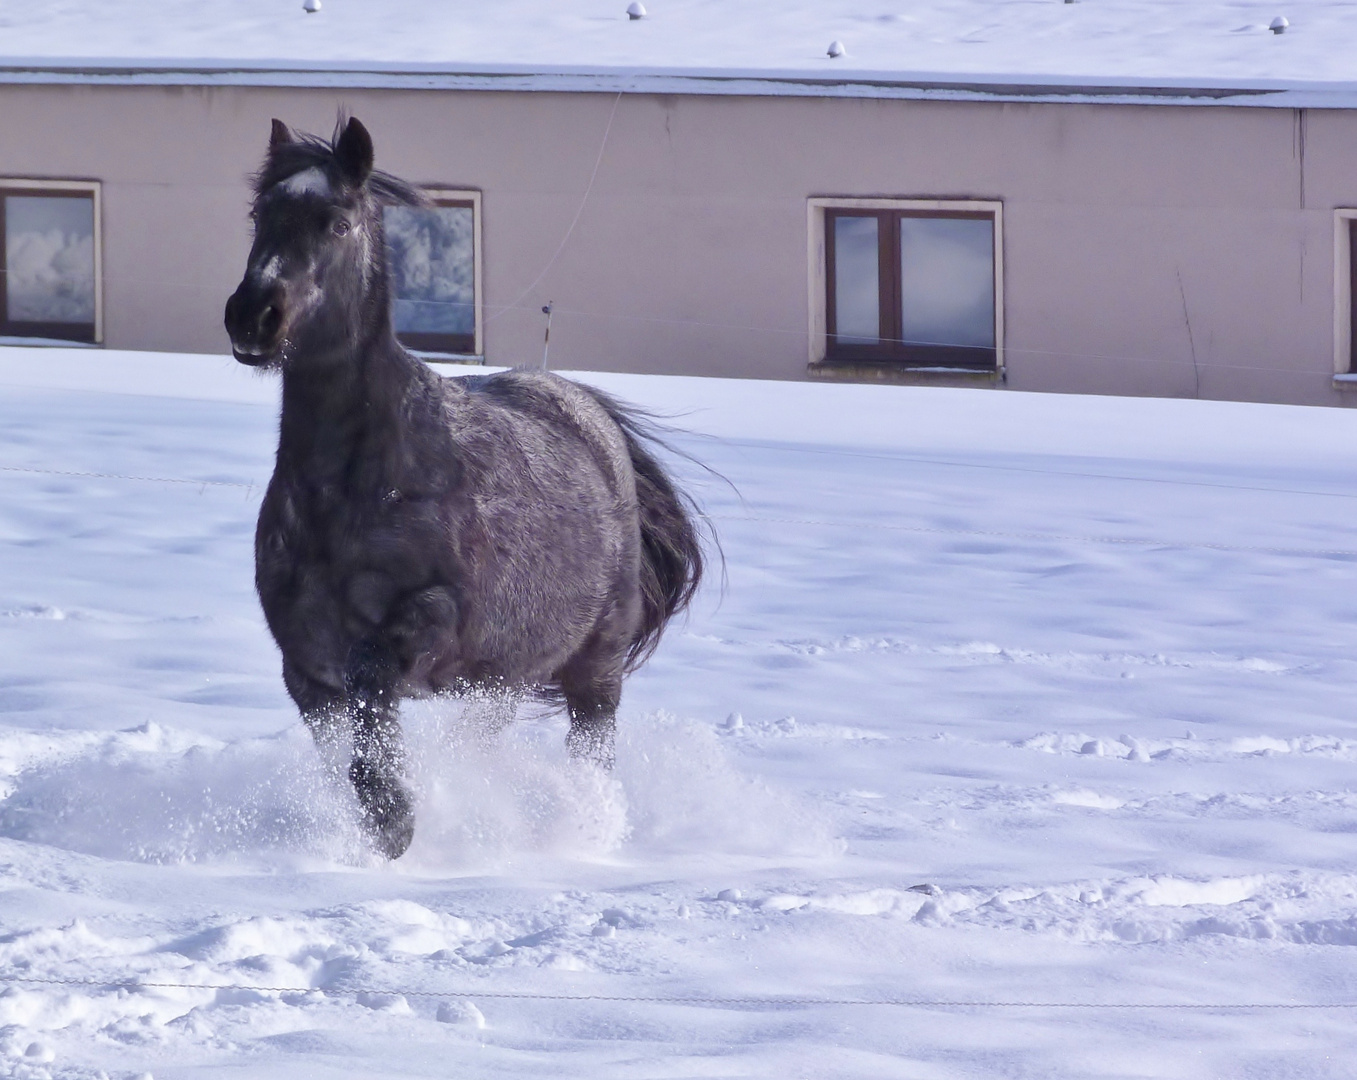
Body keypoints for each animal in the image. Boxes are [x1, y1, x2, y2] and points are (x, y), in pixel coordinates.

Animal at [223, 118, 705, 862]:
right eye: (258, 215)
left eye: (336, 222)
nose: (253, 315)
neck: (358, 489)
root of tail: (589, 417)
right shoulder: (306, 670)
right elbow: (343, 752)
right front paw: (380, 825)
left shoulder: (429, 623)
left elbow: (374, 688)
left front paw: (395, 820)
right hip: (498, 684)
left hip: (593, 676)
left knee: (592, 762)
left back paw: (584, 838)